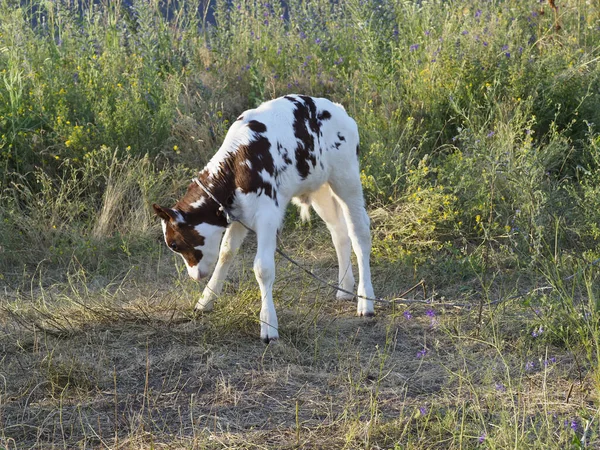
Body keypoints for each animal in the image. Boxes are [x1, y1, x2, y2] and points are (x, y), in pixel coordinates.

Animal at [152, 94, 372, 342]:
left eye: (174, 244)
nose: (194, 276)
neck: (236, 165)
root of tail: (337, 109)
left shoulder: (268, 214)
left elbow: (262, 268)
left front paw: (268, 325)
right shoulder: (238, 213)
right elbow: (226, 253)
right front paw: (206, 300)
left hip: (347, 178)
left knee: (359, 233)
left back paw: (366, 302)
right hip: (320, 189)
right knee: (339, 232)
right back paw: (345, 287)